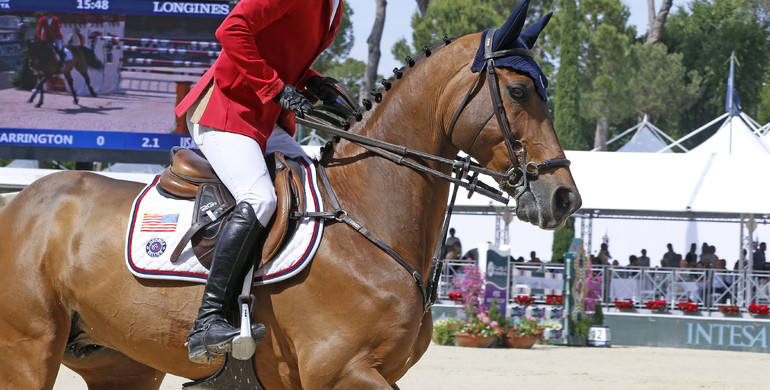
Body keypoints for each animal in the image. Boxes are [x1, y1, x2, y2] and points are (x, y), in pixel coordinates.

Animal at [0, 6, 576, 390]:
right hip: (29, 351)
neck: (369, 217)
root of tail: (20, 203)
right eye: (520, 92)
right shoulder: (341, 371)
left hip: (119, 362)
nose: (564, 198)